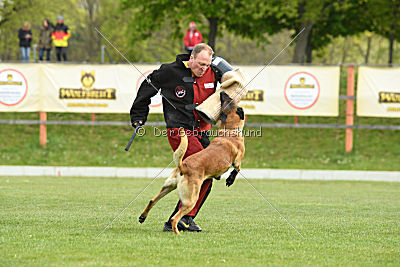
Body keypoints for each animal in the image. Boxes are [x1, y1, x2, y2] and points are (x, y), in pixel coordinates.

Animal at [138, 92, 244, 234]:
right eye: (230, 99)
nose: (222, 92)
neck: (230, 130)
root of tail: (183, 166)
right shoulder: (238, 159)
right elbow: (237, 169)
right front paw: (230, 179)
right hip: (191, 199)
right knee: (175, 218)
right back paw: (177, 232)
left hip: (168, 187)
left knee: (152, 201)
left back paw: (143, 217)